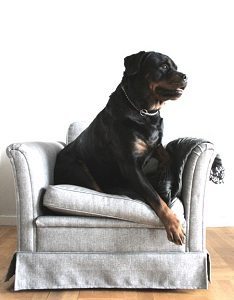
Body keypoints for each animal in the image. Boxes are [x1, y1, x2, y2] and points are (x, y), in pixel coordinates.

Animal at [54, 50, 186, 245]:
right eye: (163, 66)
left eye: (176, 67)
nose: (185, 76)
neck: (144, 111)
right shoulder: (130, 165)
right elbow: (154, 196)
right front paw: (173, 225)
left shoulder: (156, 144)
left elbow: (167, 155)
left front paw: (164, 171)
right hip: (80, 169)